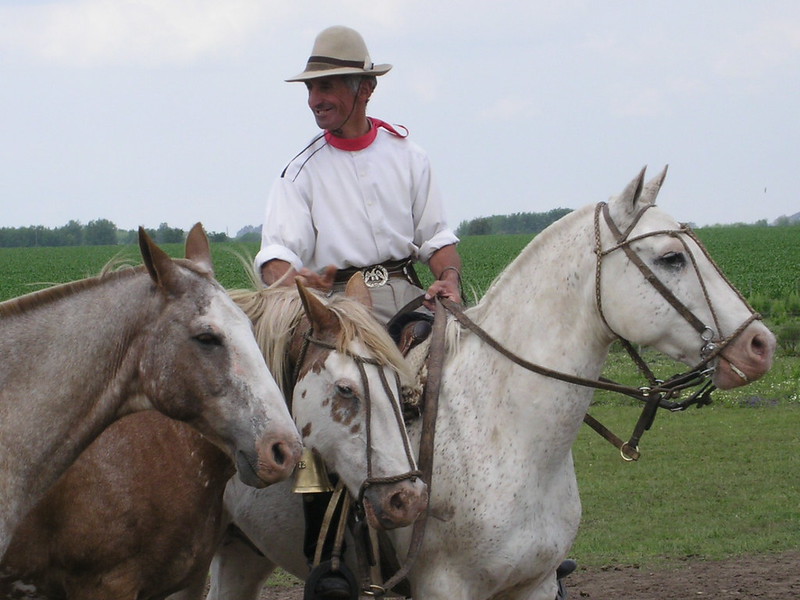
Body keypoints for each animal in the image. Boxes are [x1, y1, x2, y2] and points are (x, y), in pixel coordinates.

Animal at [198, 168, 776, 600]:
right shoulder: (446, 588)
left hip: (241, 554)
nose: (760, 344)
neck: (509, 435)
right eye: (671, 258)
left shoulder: (535, 584)